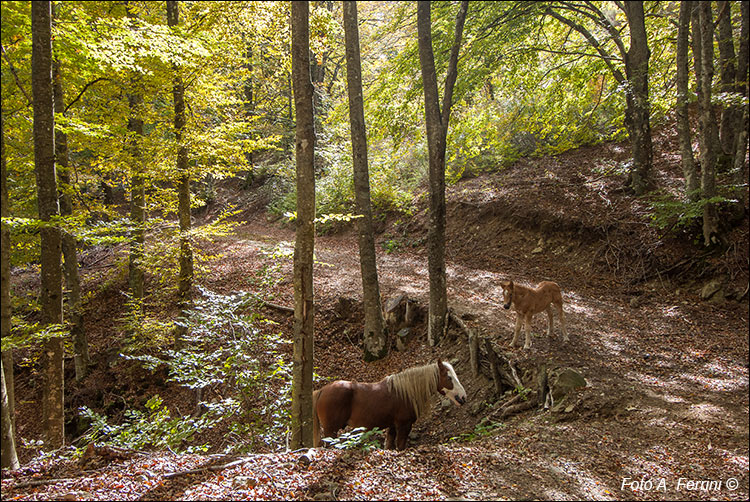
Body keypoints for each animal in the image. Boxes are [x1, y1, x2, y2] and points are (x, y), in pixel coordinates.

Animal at [310, 356, 464, 452]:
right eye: (449, 377)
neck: (405, 392)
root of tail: (322, 390)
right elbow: (400, 446)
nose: (463, 397)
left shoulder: (393, 426)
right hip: (331, 431)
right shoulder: (404, 425)